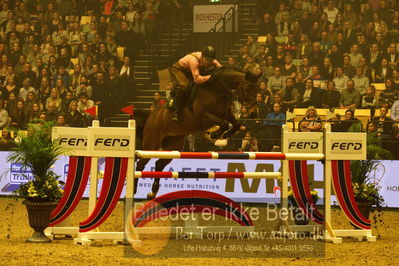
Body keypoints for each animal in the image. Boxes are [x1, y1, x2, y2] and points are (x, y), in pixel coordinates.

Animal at [136, 66, 260, 198]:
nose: (253, 113)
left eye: (257, 90)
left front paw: (224, 134)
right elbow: (224, 124)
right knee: (140, 164)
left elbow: (235, 124)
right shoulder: (203, 117)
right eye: (247, 89)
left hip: (173, 144)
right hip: (152, 144)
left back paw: (152, 192)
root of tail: (150, 116)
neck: (216, 91)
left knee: (159, 164)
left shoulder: (226, 114)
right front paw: (214, 134)